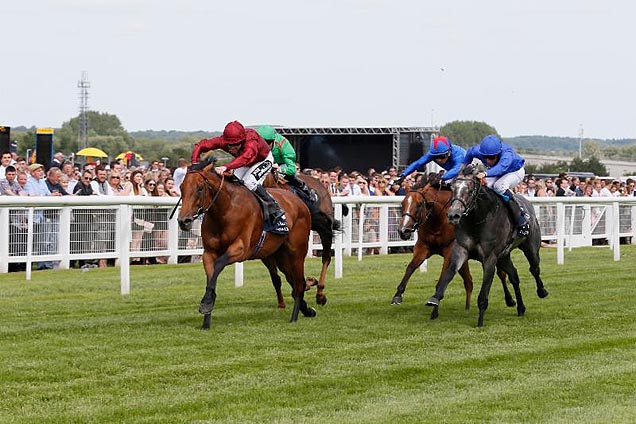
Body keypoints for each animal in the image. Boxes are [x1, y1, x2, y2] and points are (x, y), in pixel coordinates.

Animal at [176, 162, 316, 328]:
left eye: (200, 188)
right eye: (181, 187)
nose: (183, 221)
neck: (225, 209)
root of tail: (299, 202)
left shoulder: (241, 249)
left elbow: (219, 264)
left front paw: (206, 303)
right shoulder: (209, 253)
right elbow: (211, 276)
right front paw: (206, 318)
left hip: (297, 252)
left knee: (299, 283)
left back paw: (294, 318)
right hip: (280, 255)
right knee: (293, 281)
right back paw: (308, 310)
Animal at [264, 171, 340, 306]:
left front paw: (309, 283)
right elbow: (277, 278)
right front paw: (281, 303)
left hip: (323, 227)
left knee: (326, 257)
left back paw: (320, 293)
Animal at [396, 177, 516, 320]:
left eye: (419, 204)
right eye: (402, 203)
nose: (403, 230)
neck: (438, 220)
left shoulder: (449, 250)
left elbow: (442, 279)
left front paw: (434, 310)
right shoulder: (423, 247)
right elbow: (410, 267)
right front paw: (397, 295)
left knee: (501, 274)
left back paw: (510, 300)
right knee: (469, 281)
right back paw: (467, 308)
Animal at [424, 166, 548, 328]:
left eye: (470, 190)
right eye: (452, 188)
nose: (453, 215)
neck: (478, 219)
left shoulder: (490, 258)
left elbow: (483, 293)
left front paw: (480, 321)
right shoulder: (461, 250)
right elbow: (449, 273)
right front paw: (435, 299)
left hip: (530, 247)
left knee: (534, 269)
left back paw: (542, 291)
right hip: (504, 256)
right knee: (514, 276)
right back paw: (521, 308)